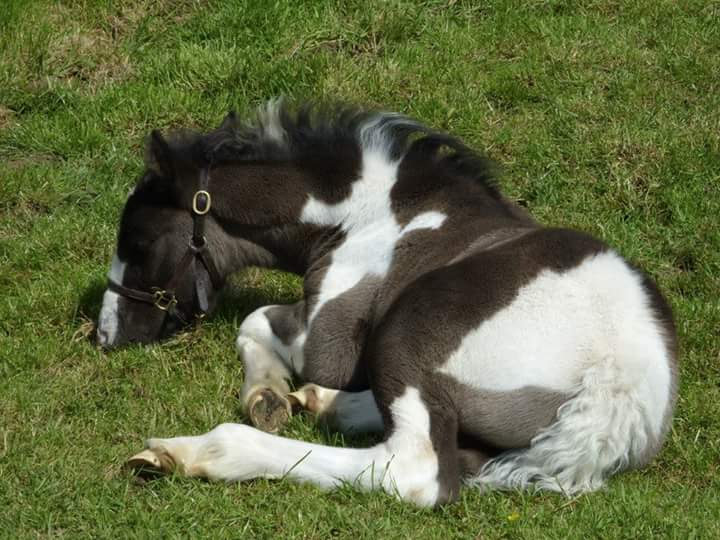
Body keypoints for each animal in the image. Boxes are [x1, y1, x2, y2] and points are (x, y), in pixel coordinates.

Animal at [98, 101, 676, 506]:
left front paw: (265, 396)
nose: (106, 333)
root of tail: (616, 381)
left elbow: (255, 320)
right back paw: (326, 403)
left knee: (414, 471)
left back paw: (192, 452)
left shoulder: (323, 340)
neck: (372, 214)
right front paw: (276, 396)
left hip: (405, 333)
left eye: (139, 242)